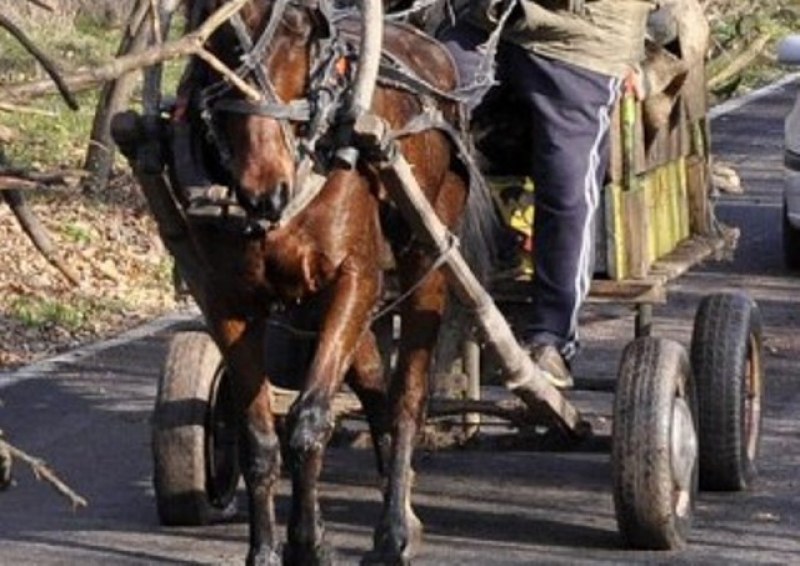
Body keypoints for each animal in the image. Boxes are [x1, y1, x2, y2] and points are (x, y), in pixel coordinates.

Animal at [177, 2, 494, 564]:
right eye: (220, 45)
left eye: (302, 35)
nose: (266, 190)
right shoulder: (226, 300)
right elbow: (258, 437)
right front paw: (265, 550)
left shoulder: (352, 278)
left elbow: (309, 420)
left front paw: (309, 544)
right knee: (373, 384)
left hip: (425, 252)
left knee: (407, 394)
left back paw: (394, 530)